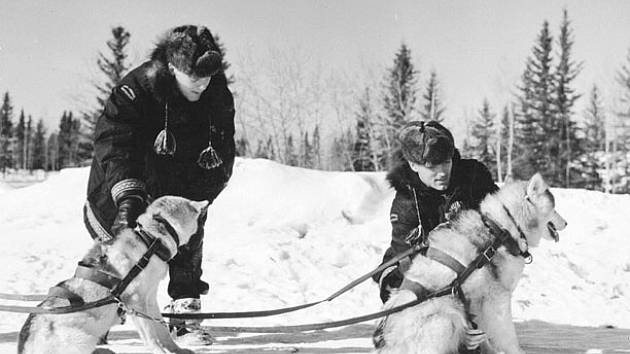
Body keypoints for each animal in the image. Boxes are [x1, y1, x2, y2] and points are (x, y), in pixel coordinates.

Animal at [16, 196, 210, 354]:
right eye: (196, 213)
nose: (205, 205)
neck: (150, 241)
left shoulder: (149, 299)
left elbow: (162, 330)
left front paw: (175, 349)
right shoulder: (135, 302)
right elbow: (150, 335)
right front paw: (158, 351)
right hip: (83, 338)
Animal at [376, 174, 568, 354]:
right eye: (554, 208)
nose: (566, 223)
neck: (503, 229)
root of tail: (389, 344)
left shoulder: (478, 301)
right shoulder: (497, 298)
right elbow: (507, 335)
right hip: (446, 316)